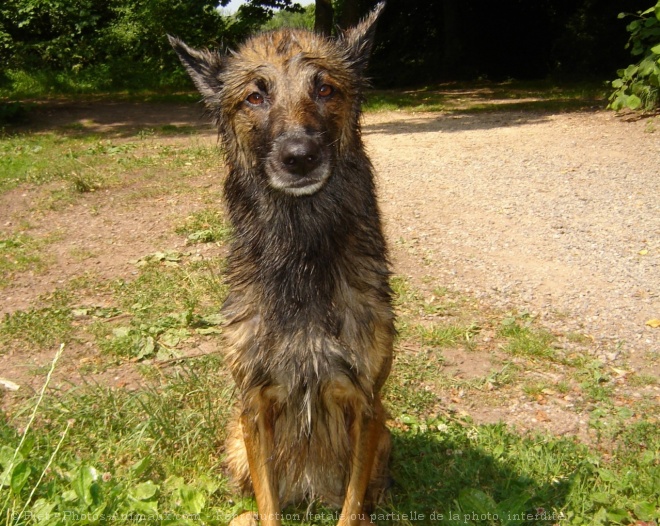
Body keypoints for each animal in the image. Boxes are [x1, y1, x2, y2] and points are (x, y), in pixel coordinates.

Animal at [170, 3, 394, 524]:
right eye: (255, 96)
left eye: (325, 88)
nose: (299, 156)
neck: (301, 253)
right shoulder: (255, 404)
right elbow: (268, 504)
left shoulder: (366, 404)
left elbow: (351, 506)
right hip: (236, 437)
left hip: (385, 438)